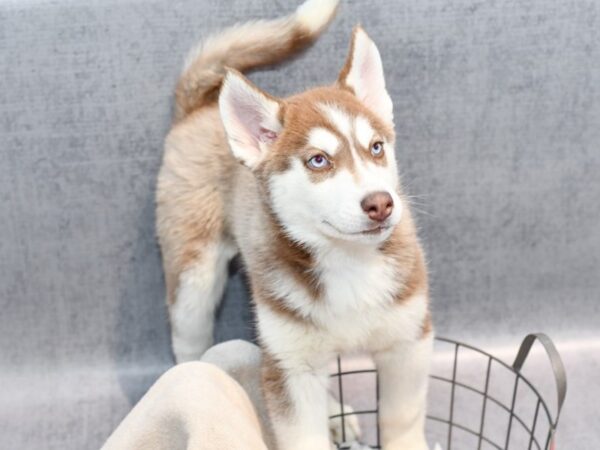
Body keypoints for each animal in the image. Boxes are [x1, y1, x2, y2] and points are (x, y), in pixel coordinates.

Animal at [157, 1, 434, 448]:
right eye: (318, 160)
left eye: (376, 148)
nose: (380, 204)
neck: (347, 262)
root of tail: (198, 108)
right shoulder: (289, 368)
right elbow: (303, 432)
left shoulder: (408, 341)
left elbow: (402, 418)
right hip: (193, 277)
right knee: (189, 340)